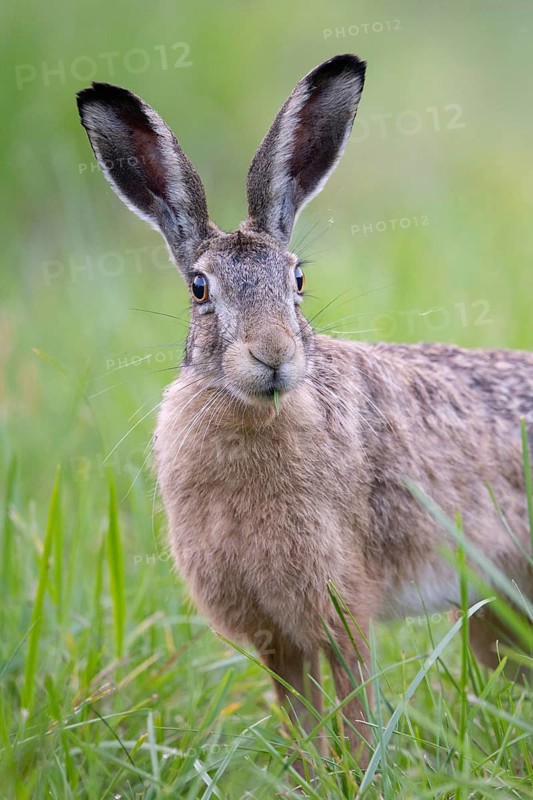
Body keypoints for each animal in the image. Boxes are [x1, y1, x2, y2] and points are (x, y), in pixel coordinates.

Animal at [77, 54, 533, 767]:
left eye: (297, 279)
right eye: (199, 288)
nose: (273, 355)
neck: (256, 415)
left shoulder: (342, 606)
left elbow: (355, 718)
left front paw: (360, 773)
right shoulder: (276, 635)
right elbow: (300, 725)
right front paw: (311, 777)